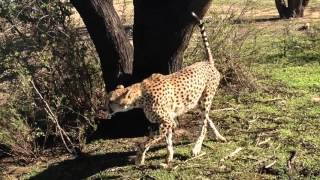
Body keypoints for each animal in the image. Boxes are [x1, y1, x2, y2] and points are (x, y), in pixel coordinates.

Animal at [107, 12, 225, 166]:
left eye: (111, 101)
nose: (106, 109)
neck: (141, 94)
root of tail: (208, 62)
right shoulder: (167, 121)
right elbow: (168, 140)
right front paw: (169, 157)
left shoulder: (167, 122)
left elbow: (145, 143)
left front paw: (139, 159)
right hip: (197, 102)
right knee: (208, 118)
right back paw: (219, 136)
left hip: (206, 99)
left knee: (204, 125)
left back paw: (196, 148)